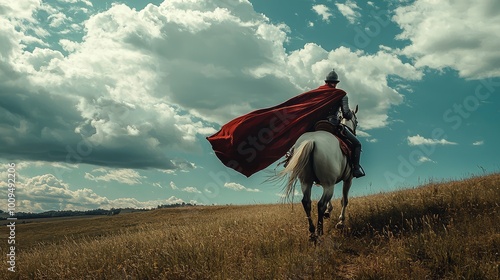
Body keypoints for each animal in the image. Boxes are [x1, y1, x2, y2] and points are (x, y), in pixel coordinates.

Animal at [280, 106, 358, 240]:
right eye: (356, 121)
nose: (355, 131)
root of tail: (311, 141)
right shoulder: (348, 179)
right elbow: (344, 200)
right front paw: (340, 222)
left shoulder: (324, 182)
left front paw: (328, 211)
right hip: (329, 184)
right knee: (320, 204)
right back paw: (319, 231)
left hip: (306, 182)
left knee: (307, 202)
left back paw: (312, 232)